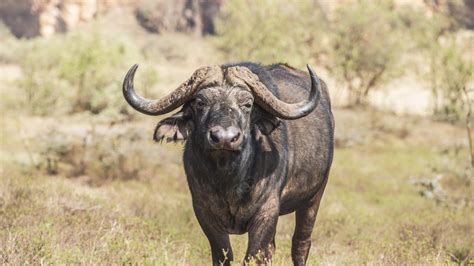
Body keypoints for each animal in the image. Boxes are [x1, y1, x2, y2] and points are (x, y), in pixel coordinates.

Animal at [124, 61, 336, 264]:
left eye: (248, 104)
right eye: (200, 102)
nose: (225, 138)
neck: (229, 179)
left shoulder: (267, 212)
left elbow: (254, 256)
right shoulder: (204, 213)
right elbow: (223, 255)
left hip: (314, 197)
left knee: (300, 244)